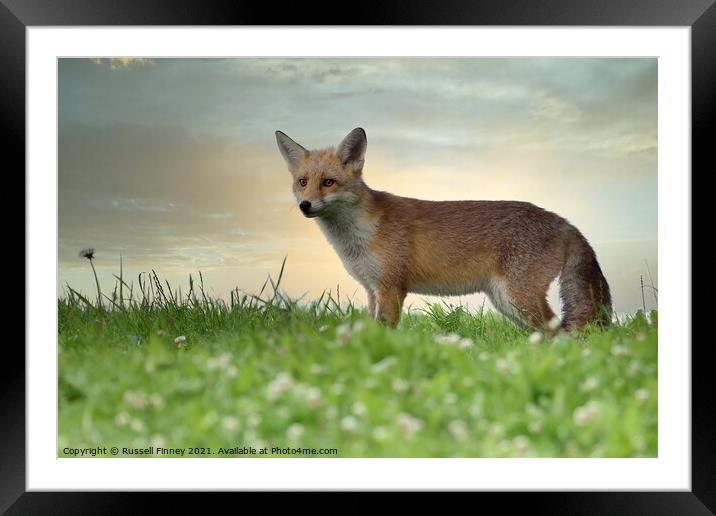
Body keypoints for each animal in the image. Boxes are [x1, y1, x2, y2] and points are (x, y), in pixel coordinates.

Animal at [276, 127, 612, 332]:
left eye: (328, 182)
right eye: (303, 182)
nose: (305, 205)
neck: (357, 237)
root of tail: (564, 221)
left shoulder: (392, 287)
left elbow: (387, 331)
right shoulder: (372, 288)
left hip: (518, 297)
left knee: (558, 332)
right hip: (507, 302)